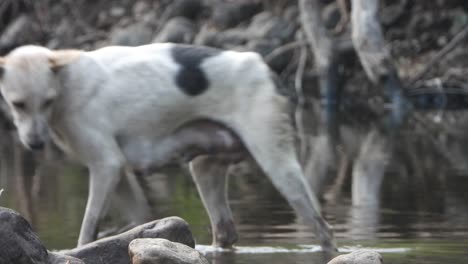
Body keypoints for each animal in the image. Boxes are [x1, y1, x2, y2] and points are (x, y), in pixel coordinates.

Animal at [0, 43, 336, 252]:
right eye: (17, 104)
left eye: (46, 102)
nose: (35, 143)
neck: (66, 83)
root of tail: (262, 66)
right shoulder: (118, 174)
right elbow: (136, 219)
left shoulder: (106, 166)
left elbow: (87, 228)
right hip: (205, 169)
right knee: (225, 232)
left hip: (279, 166)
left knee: (323, 230)